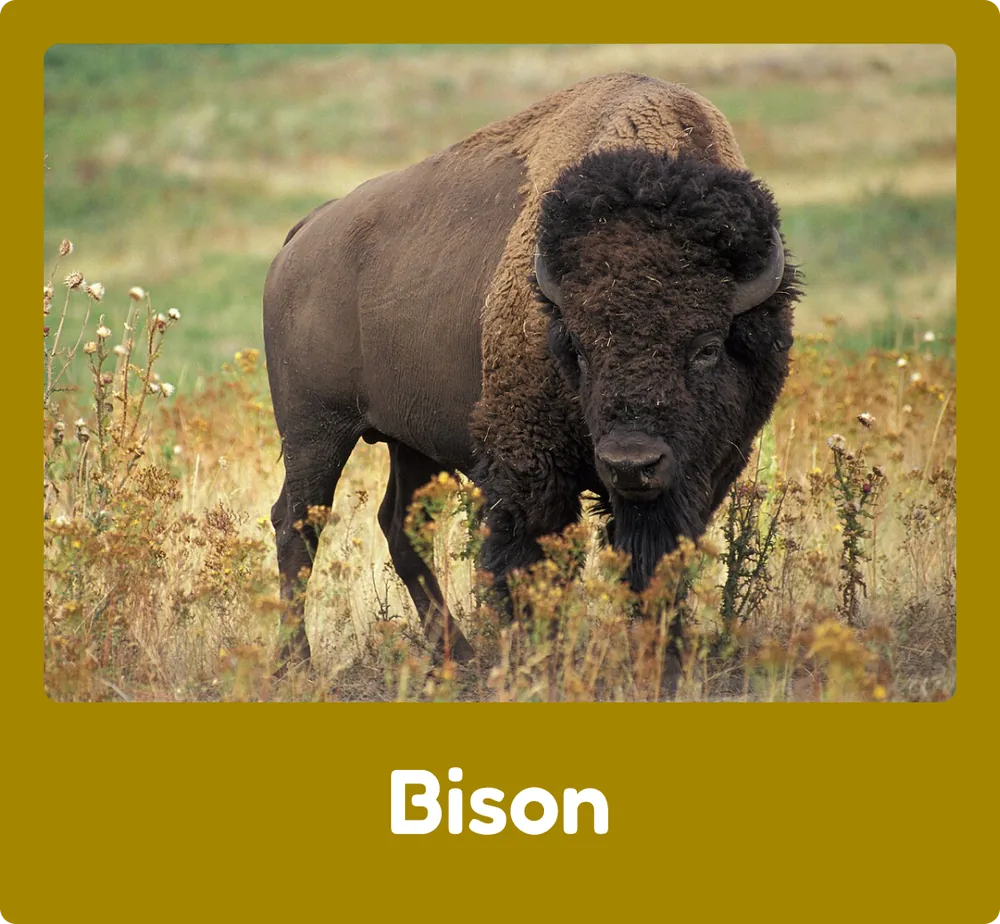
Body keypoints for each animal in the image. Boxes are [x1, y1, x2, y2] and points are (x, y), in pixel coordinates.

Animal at [263, 72, 800, 669]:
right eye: (580, 349)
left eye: (707, 347)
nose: (631, 463)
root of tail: (305, 233)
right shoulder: (530, 467)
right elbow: (531, 563)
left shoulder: (701, 473)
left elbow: (657, 563)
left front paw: (664, 659)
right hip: (316, 432)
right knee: (297, 523)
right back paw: (297, 663)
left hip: (411, 442)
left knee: (399, 526)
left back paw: (458, 657)